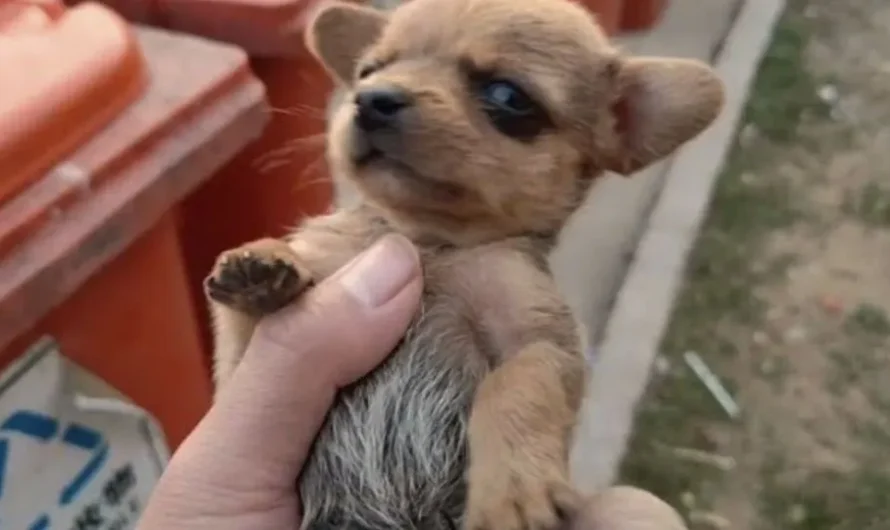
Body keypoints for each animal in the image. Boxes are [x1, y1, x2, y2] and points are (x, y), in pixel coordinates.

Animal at [203, 1, 720, 528]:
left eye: (508, 96)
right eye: (368, 71)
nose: (372, 99)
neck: (431, 245)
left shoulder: (541, 341)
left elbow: (516, 382)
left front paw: (514, 489)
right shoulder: (240, 363)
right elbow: (247, 317)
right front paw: (263, 262)